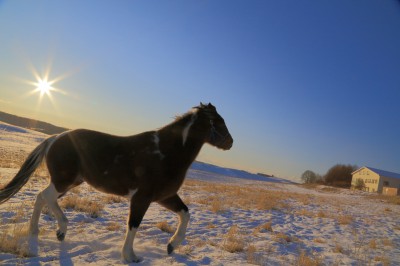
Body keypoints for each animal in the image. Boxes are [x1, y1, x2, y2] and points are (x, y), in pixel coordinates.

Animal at [0, 103, 233, 262]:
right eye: (219, 121)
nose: (230, 143)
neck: (166, 153)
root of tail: (55, 137)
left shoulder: (165, 196)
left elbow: (185, 214)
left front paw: (171, 246)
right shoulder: (142, 198)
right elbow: (133, 225)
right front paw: (130, 256)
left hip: (70, 182)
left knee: (43, 198)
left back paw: (49, 232)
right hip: (63, 181)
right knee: (44, 196)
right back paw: (51, 231)